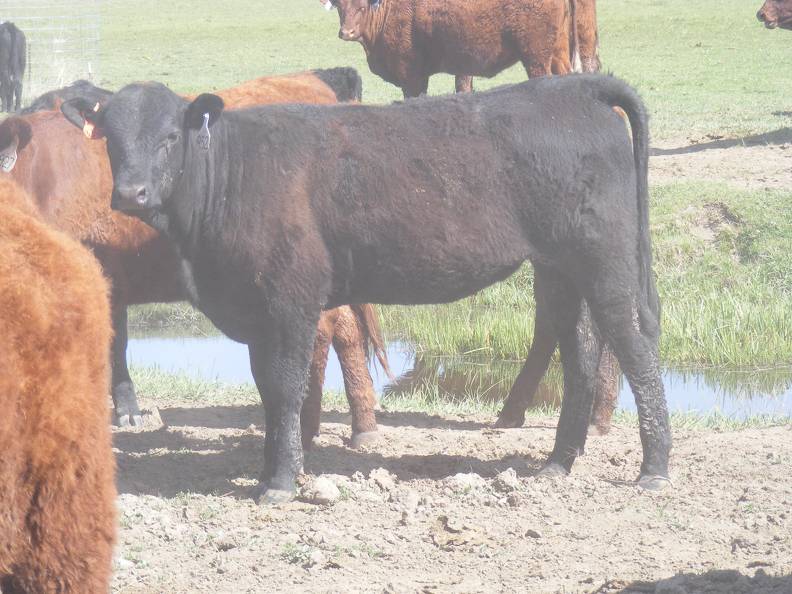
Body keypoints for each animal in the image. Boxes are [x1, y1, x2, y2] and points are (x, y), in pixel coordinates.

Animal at [63, 71, 676, 502]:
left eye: (170, 136)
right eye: (110, 139)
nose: (131, 194)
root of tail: (574, 87)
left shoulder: (291, 299)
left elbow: (285, 387)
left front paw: (281, 482)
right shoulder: (258, 311)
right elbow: (267, 391)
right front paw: (269, 470)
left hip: (607, 261)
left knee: (636, 346)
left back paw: (654, 469)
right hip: (559, 269)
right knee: (580, 352)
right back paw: (557, 463)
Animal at [322, 0, 576, 97]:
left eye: (362, 6)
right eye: (340, 6)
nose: (346, 32)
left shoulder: (411, 77)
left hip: (535, 58)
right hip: (557, 55)